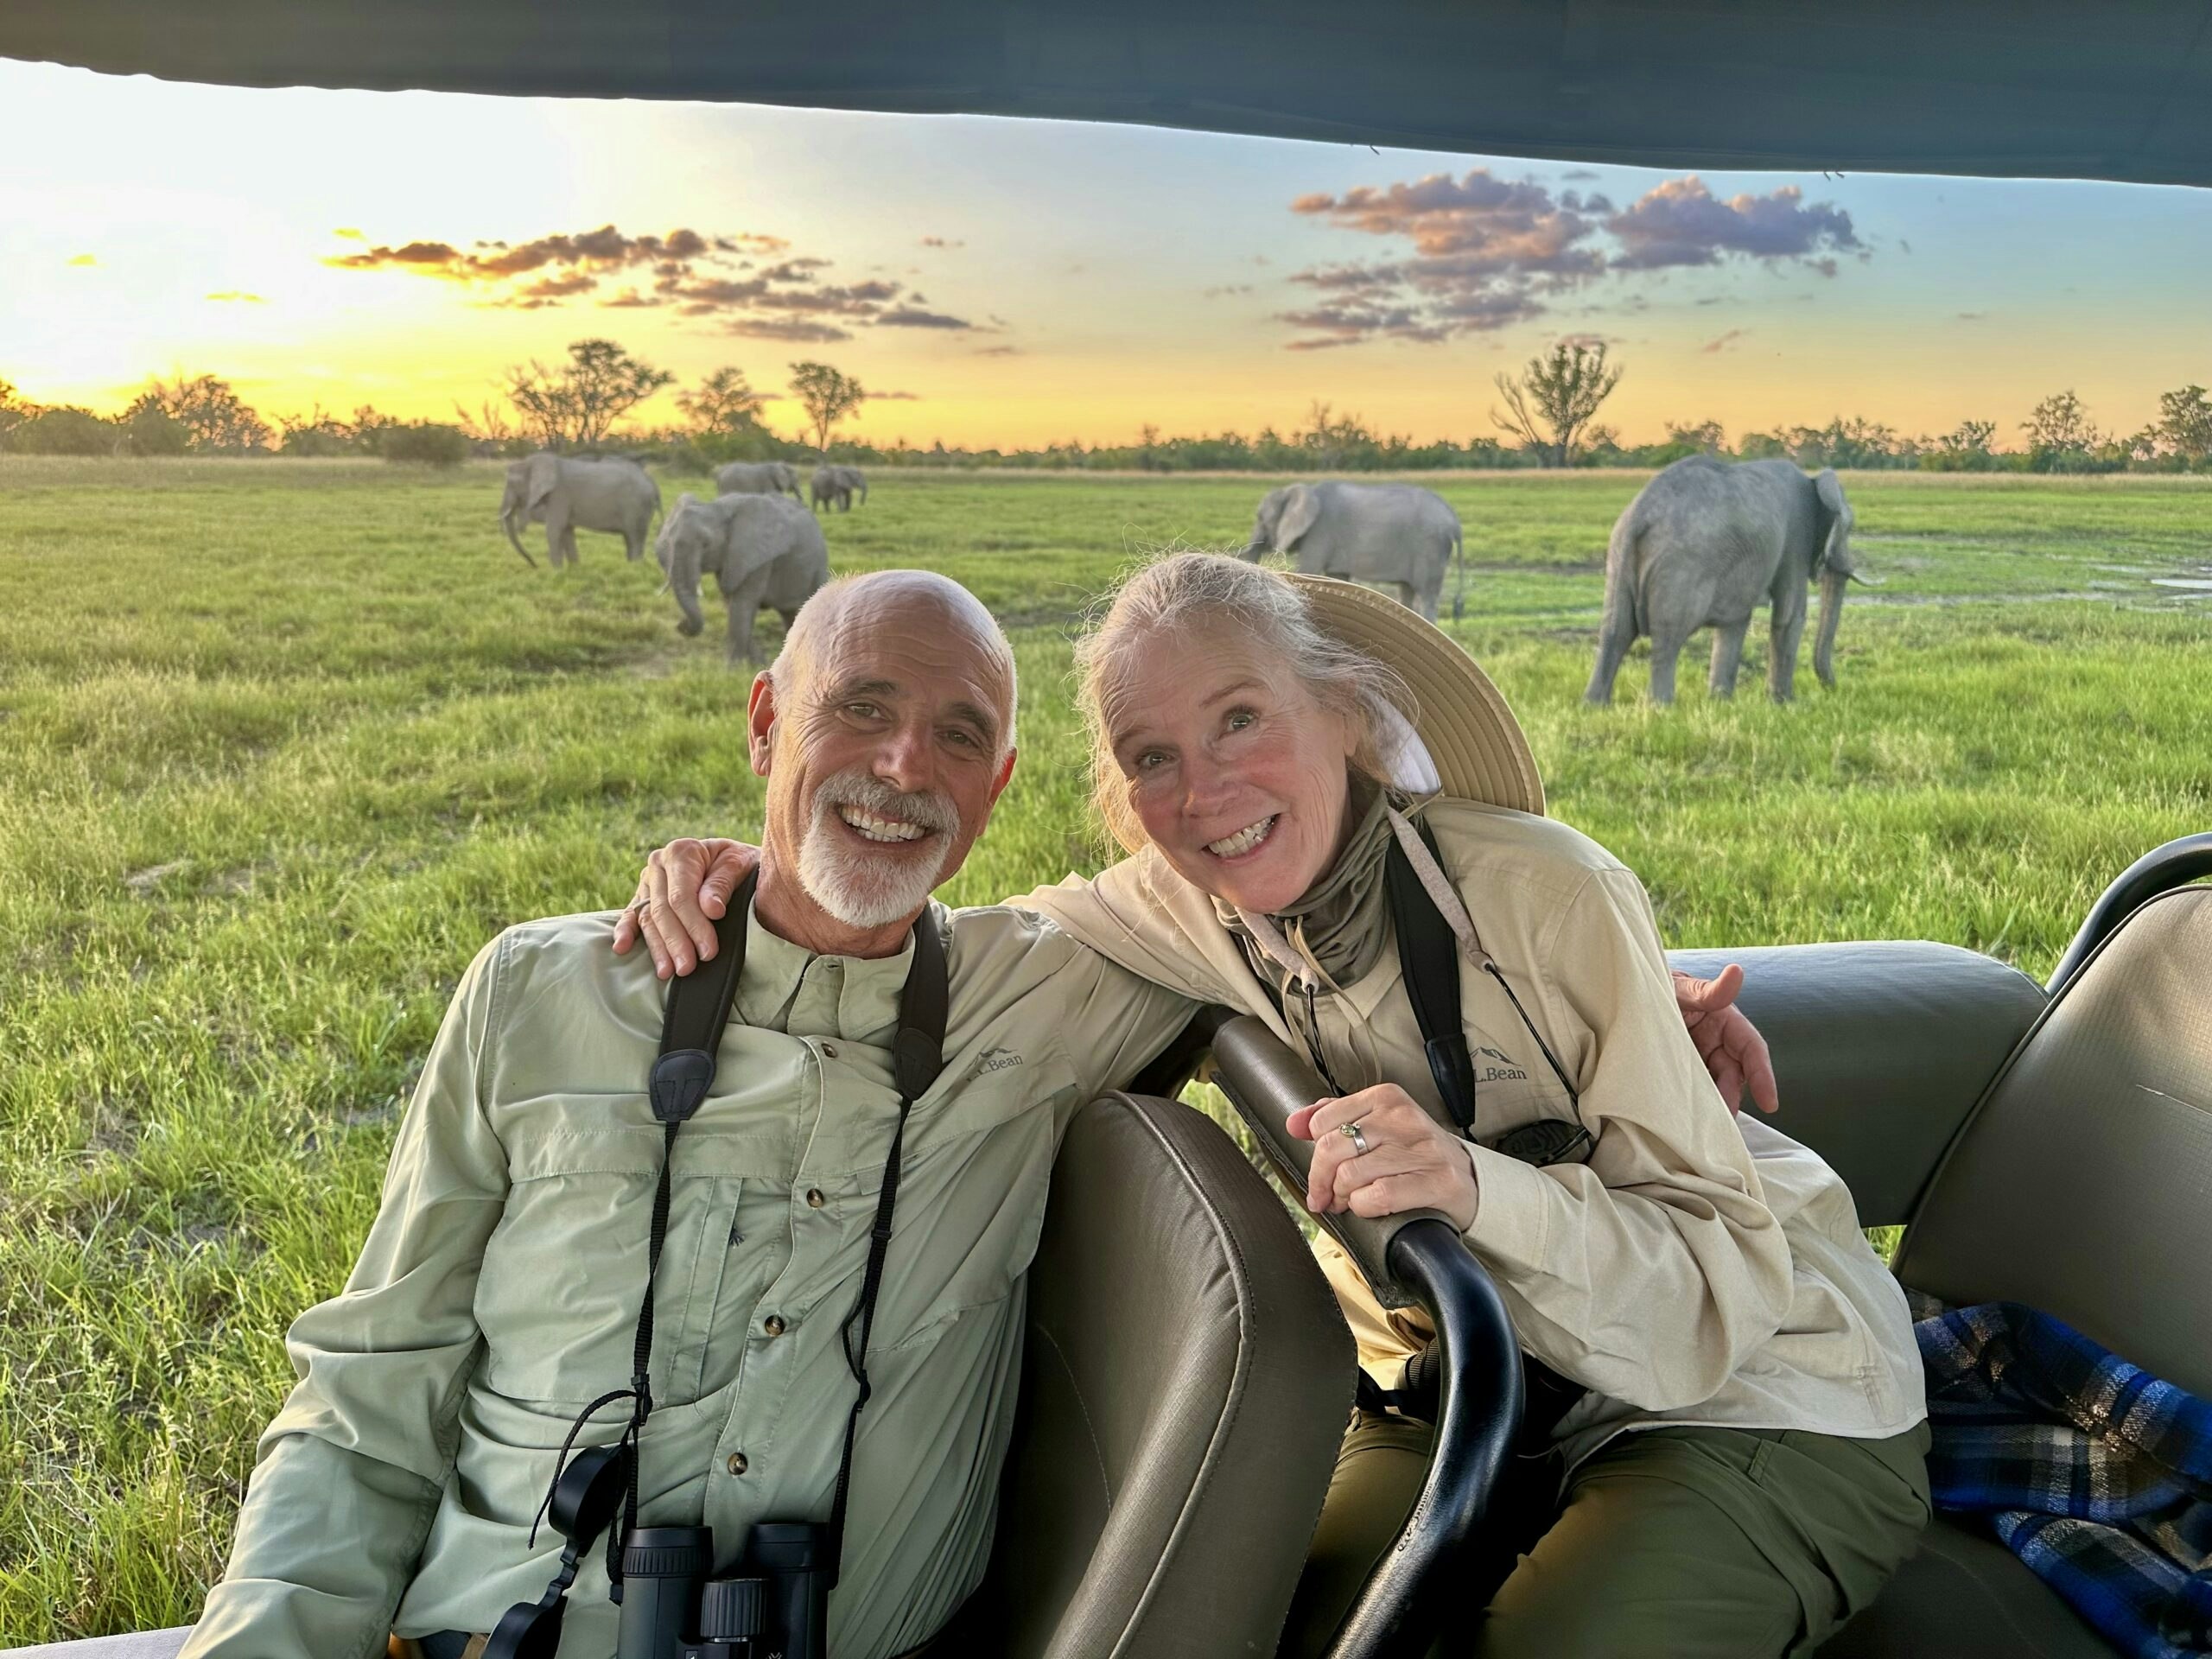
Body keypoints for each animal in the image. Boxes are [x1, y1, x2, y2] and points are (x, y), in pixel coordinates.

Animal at [504, 451, 658, 570]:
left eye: (511, 484)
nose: (534, 565)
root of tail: (650, 480)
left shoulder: (559, 496)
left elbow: (554, 530)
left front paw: (556, 571)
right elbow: (567, 530)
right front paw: (575, 570)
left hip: (636, 508)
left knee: (635, 538)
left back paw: (634, 568)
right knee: (631, 539)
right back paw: (632, 568)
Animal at [658, 491, 831, 668]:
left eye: (706, 544)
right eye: (667, 541)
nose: (680, 625)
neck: (717, 507)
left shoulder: (758, 557)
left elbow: (743, 604)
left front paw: (731, 669)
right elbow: (733, 604)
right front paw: (758, 665)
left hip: (819, 566)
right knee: (790, 614)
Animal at [1247, 480, 1468, 623]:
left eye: (1261, 518)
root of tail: (1454, 519)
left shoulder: (1320, 533)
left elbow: (1307, 571)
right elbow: (1338, 577)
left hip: (1430, 547)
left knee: (1427, 595)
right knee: (1407, 590)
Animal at [1583, 455, 1875, 708]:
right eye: (1849, 528)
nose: (1834, 689)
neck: (1813, 480)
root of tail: (1638, 518)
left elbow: (1736, 619)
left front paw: (1720, 702)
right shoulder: (1796, 537)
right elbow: (1790, 615)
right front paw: (1785, 704)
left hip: (1619, 558)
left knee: (1615, 631)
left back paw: (1594, 706)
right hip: (1680, 567)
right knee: (1668, 637)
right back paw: (1661, 708)